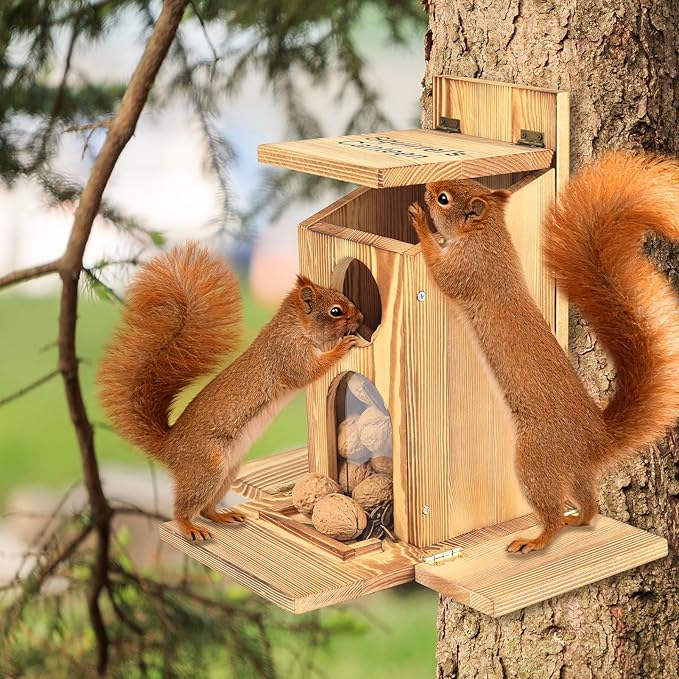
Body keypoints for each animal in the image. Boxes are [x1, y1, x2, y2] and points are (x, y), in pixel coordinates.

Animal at [98, 244, 363, 541]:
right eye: (336, 311)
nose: (362, 317)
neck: (295, 328)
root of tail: (169, 447)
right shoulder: (288, 356)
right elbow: (308, 372)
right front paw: (342, 347)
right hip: (206, 467)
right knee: (182, 509)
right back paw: (189, 527)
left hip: (227, 473)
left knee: (205, 508)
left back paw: (224, 516)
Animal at [408, 151, 679, 553]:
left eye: (443, 199)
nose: (427, 187)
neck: (487, 236)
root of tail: (596, 440)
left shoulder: (468, 268)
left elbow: (441, 272)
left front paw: (420, 225)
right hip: (572, 470)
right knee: (588, 502)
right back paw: (578, 518)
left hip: (535, 459)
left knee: (551, 514)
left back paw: (535, 540)